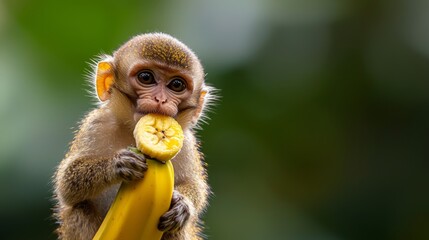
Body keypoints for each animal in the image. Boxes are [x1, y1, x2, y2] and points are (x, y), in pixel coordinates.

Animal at [53, 32, 214, 240]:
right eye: (146, 77)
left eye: (176, 84)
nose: (160, 99)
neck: (132, 132)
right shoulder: (96, 125)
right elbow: (66, 184)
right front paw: (116, 165)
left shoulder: (186, 143)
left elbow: (194, 184)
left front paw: (183, 204)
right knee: (79, 208)